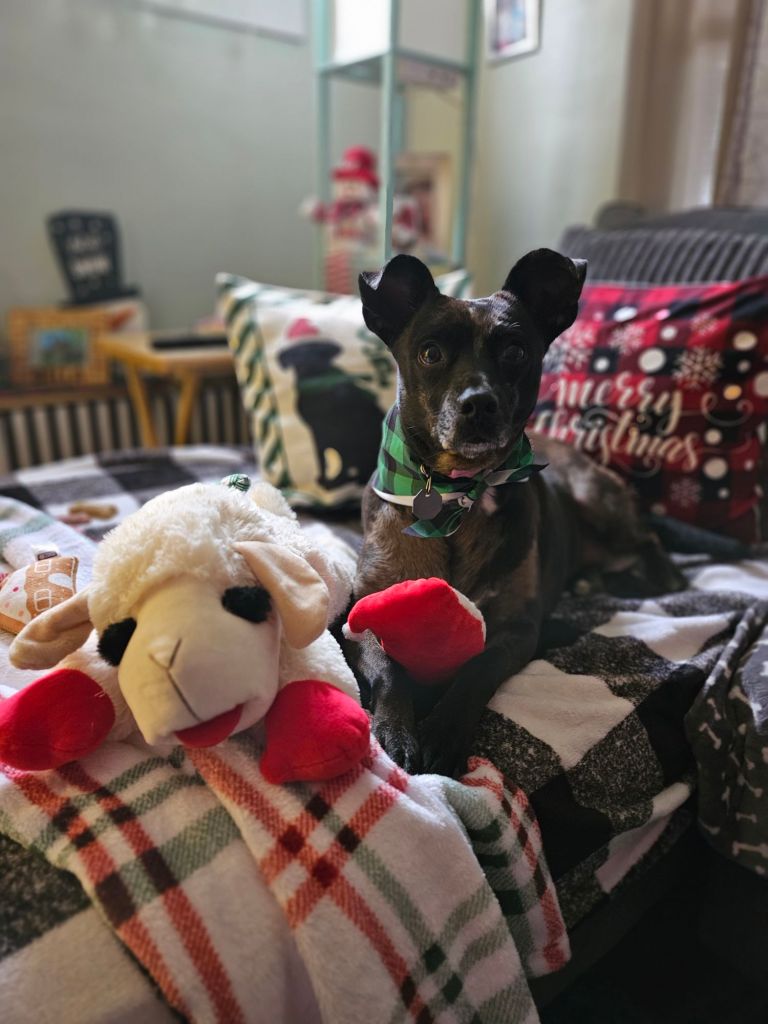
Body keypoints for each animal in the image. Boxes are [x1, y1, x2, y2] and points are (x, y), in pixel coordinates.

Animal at [352, 249, 686, 777]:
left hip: (596, 498)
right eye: (430, 353)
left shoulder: (516, 628)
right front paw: (396, 731)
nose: (479, 405)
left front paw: (443, 733)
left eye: (515, 352)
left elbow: (475, 669)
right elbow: (387, 669)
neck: (454, 495)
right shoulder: (360, 612)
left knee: (651, 546)